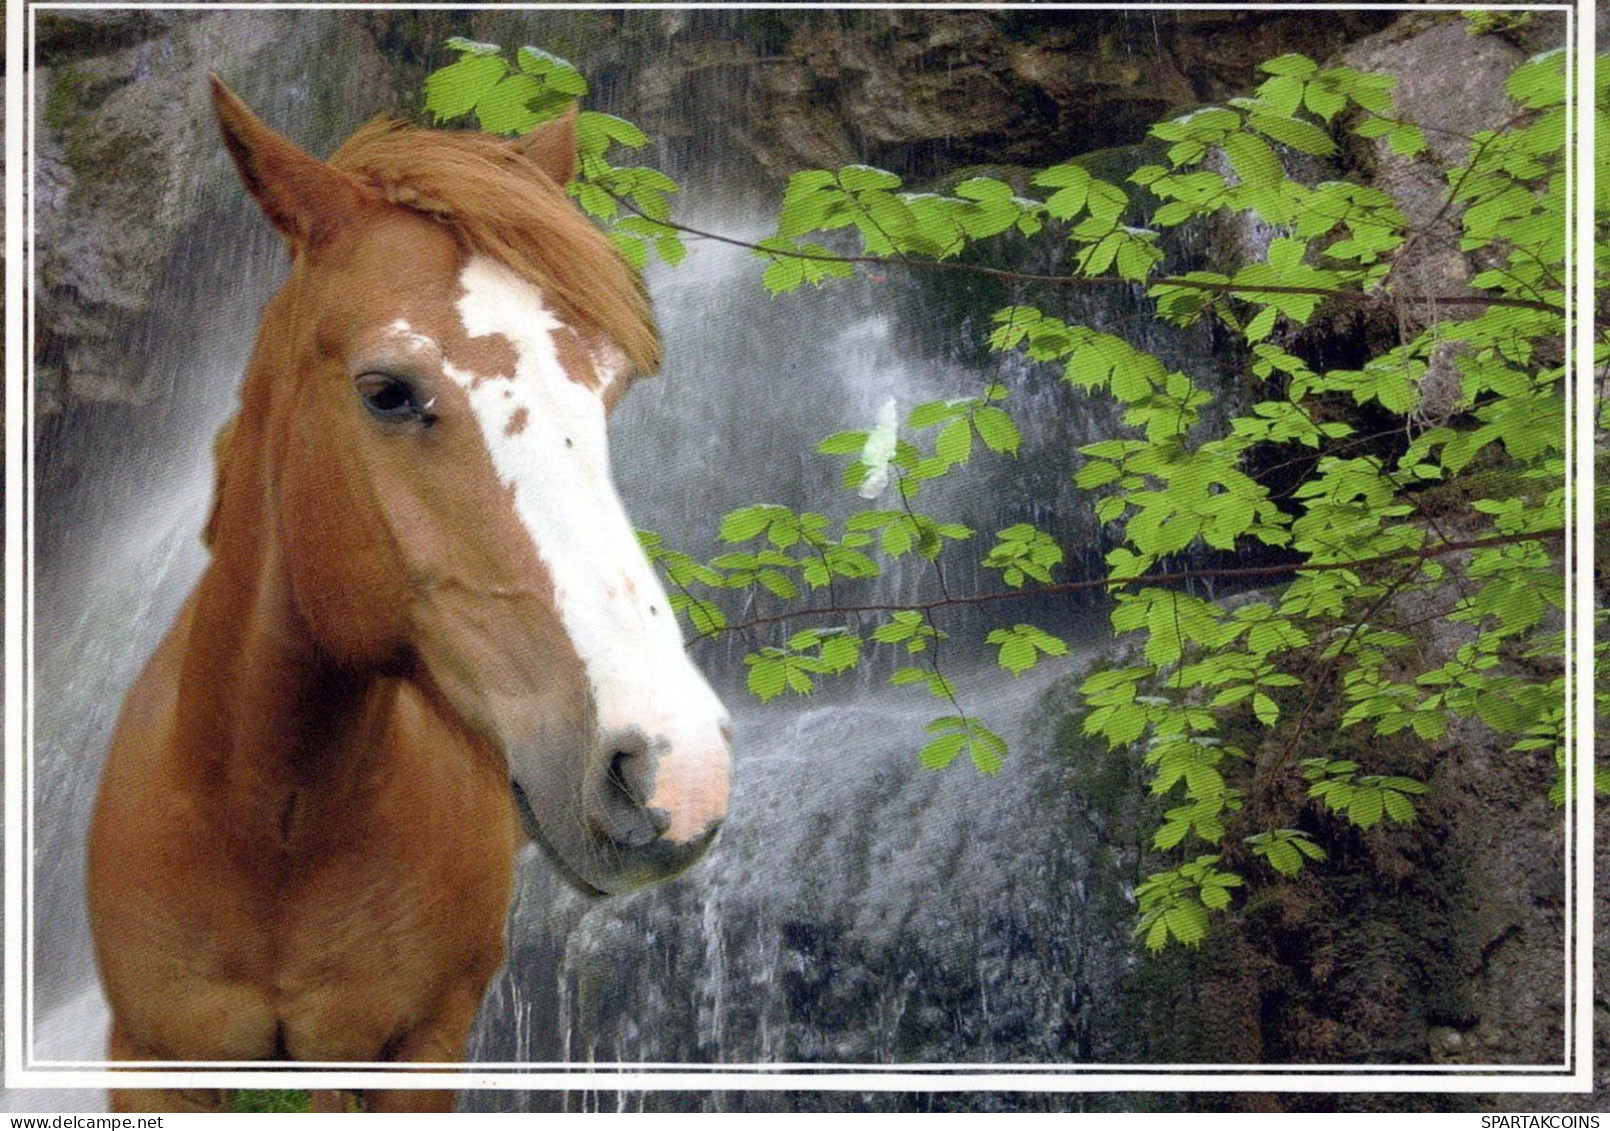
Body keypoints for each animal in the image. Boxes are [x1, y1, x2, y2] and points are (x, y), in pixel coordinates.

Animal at [88, 79, 730, 1114]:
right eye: (387, 391)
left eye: (608, 386)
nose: (673, 770)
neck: (271, 819)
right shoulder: (153, 1058)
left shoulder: (412, 1052)